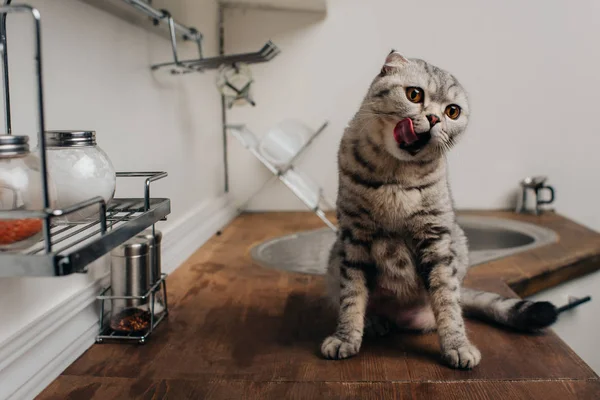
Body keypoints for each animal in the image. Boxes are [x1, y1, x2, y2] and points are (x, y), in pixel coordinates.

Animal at [322, 50, 560, 368]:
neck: (395, 175)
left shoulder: (435, 238)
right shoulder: (354, 237)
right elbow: (352, 296)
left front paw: (457, 344)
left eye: (452, 112)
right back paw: (374, 321)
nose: (434, 118)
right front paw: (346, 337)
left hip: (457, 243)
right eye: (414, 94)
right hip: (336, 255)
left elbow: (447, 299)